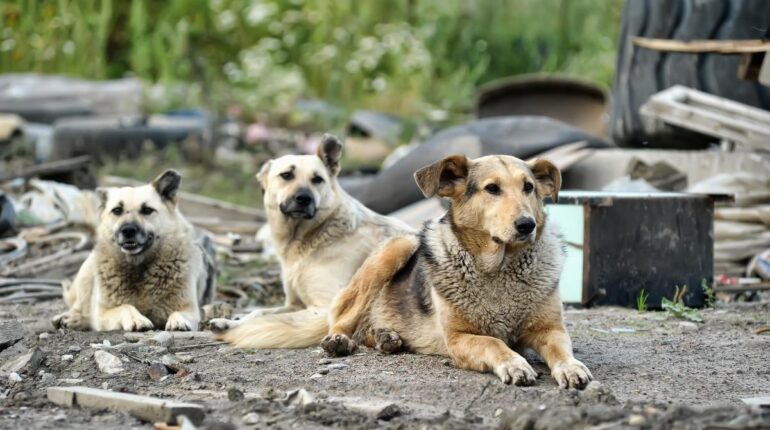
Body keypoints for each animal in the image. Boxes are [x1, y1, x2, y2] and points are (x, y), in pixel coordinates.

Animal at [51, 170, 213, 332]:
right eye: (117, 210)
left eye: (147, 210)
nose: (128, 230)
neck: (138, 266)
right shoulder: (105, 312)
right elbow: (125, 306)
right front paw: (137, 319)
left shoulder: (190, 309)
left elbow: (180, 312)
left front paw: (178, 320)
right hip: (86, 272)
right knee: (80, 308)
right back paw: (71, 319)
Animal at [320, 155, 592, 390]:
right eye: (492, 188)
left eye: (529, 187)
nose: (527, 225)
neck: (499, 269)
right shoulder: (458, 338)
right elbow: (494, 343)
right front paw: (514, 363)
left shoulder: (551, 330)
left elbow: (561, 350)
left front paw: (571, 367)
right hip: (399, 247)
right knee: (344, 317)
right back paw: (340, 341)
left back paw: (385, 337)